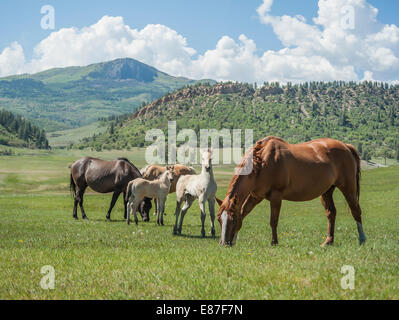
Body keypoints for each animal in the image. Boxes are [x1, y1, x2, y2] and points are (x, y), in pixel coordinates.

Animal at [217, 136, 368, 246]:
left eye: (232, 218)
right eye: (219, 219)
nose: (224, 243)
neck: (261, 163)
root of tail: (346, 146)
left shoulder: (276, 196)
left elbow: (273, 221)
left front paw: (274, 242)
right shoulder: (255, 196)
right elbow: (243, 212)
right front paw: (235, 240)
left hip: (348, 188)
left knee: (356, 210)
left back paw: (362, 239)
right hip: (326, 192)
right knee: (331, 213)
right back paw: (328, 242)